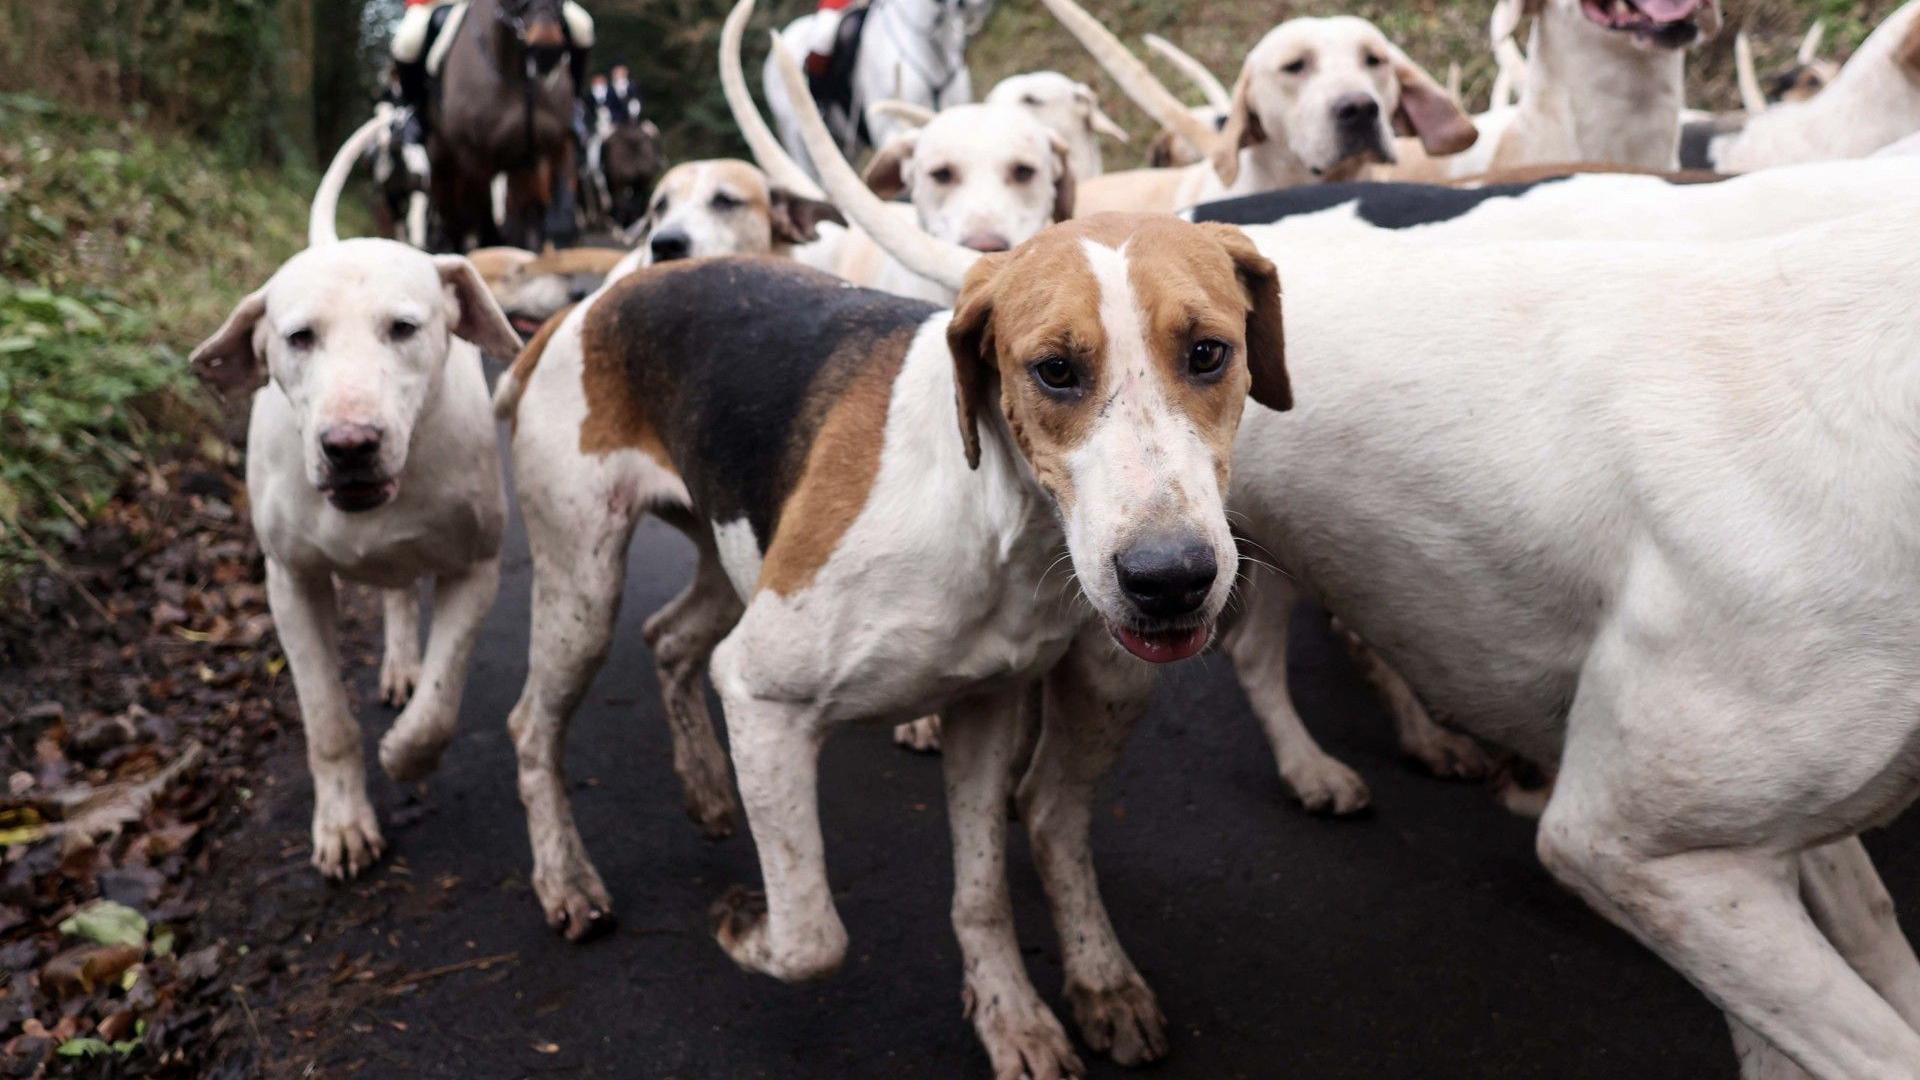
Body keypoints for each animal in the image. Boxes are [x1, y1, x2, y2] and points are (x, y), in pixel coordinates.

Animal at [432, 0, 579, 251]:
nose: (547, 50)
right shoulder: (474, 157)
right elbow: (488, 230)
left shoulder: (550, 146)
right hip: (444, 168)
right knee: (455, 223)